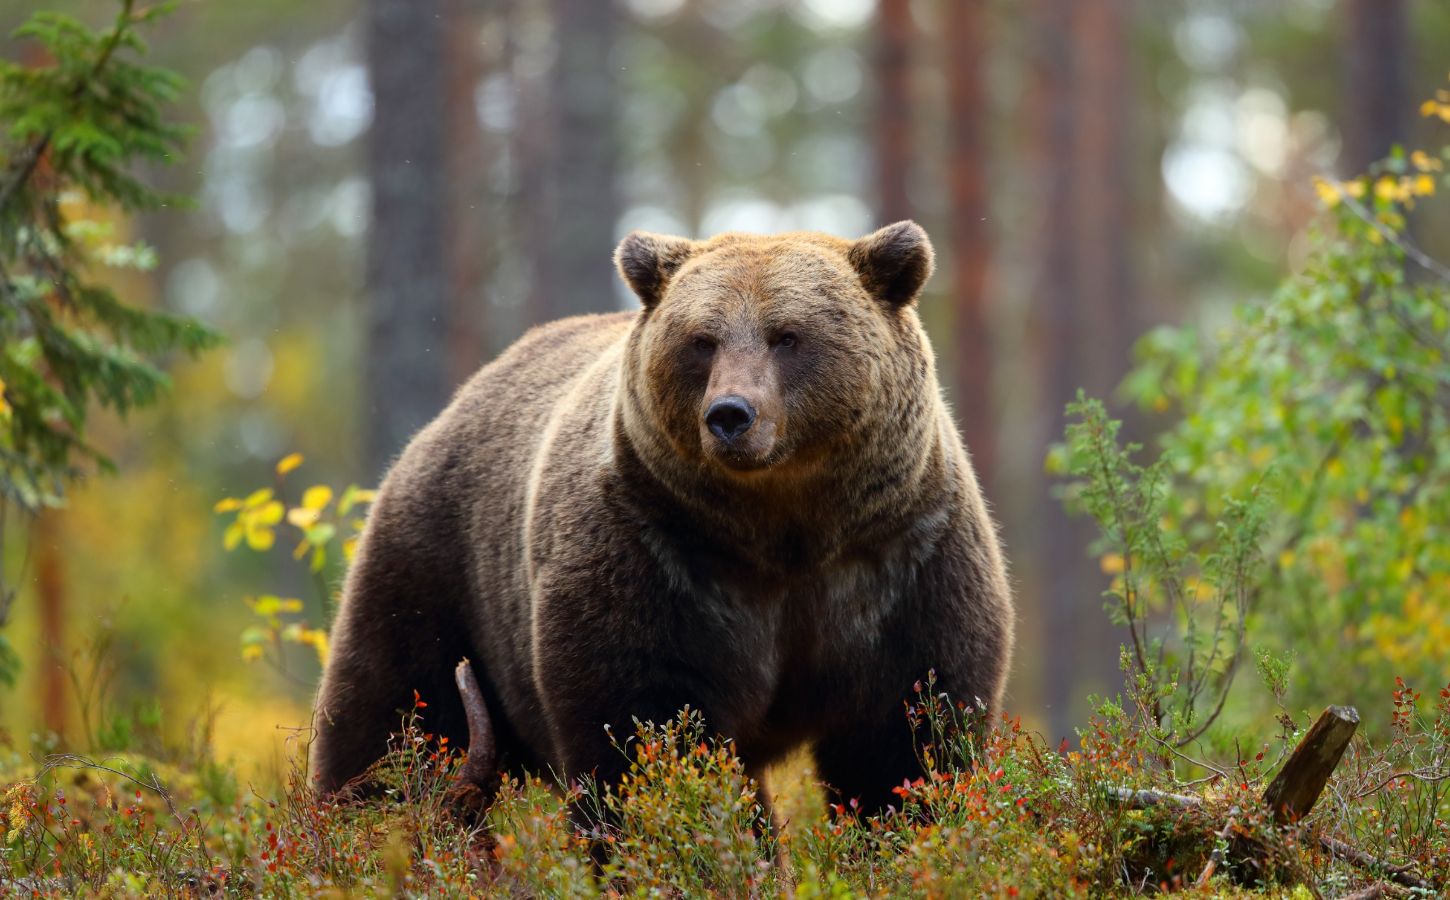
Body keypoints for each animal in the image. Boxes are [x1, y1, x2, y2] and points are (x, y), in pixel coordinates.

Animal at [311, 218, 1015, 811]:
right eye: (702, 341)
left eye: (787, 336)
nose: (730, 414)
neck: (787, 531)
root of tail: (453, 407)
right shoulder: (657, 554)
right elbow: (644, 729)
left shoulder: (901, 557)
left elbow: (906, 739)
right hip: (438, 569)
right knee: (391, 716)